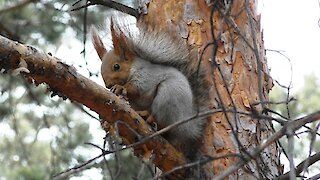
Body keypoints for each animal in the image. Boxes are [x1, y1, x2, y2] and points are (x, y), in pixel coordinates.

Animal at [90, 19, 210, 160]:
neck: (133, 68)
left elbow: (138, 88)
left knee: (164, 122)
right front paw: (105, 121)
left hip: (168, 96)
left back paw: (149, 117)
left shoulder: (146, 76)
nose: (108, 85)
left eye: (116, 66)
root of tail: (187, 125)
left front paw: (121, 87)